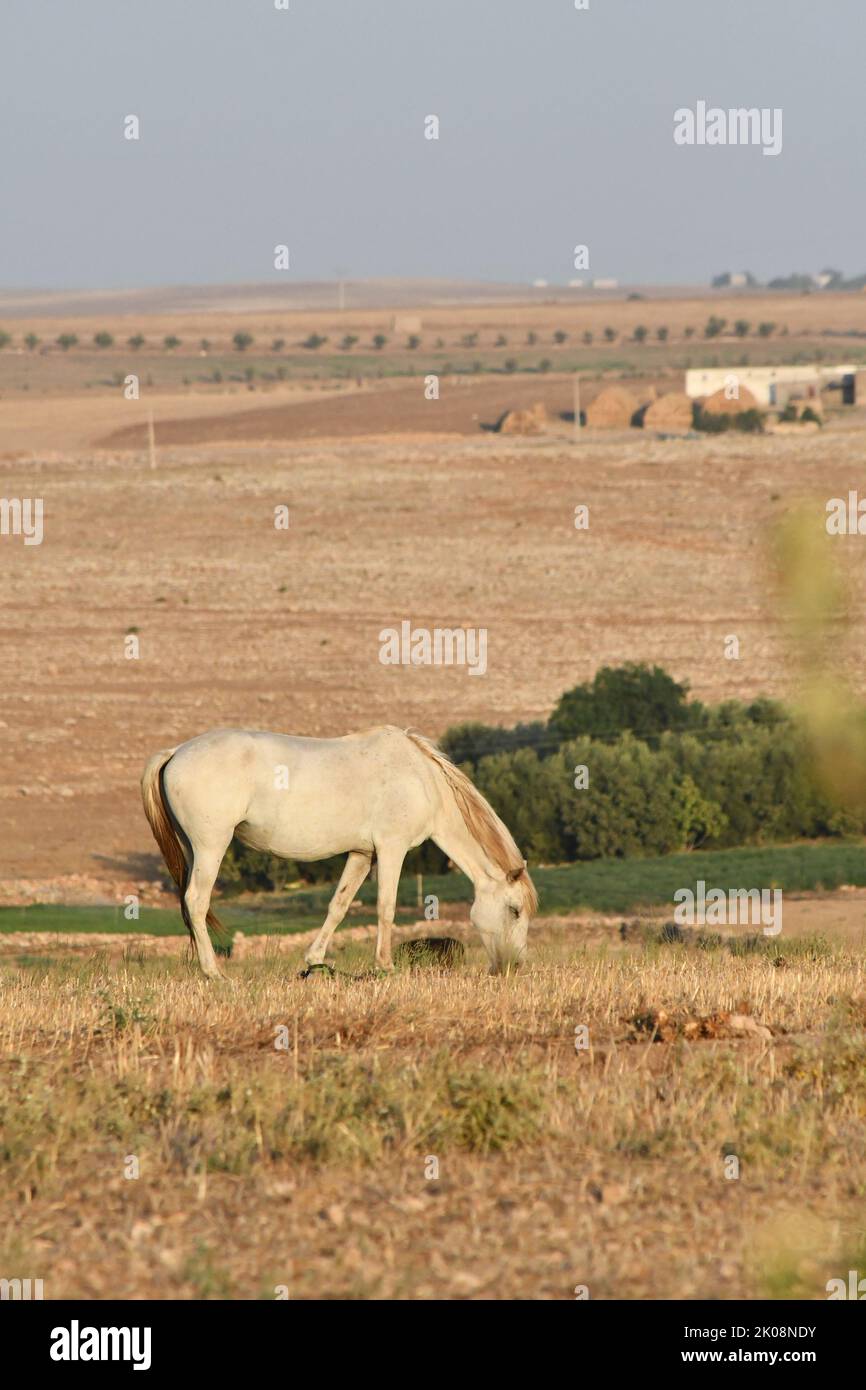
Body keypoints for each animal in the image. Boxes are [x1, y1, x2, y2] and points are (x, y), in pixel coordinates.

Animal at [141, 725, 536, 979]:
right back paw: (213, 972)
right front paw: (385, 966)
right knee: (196, 901)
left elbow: (339, 905)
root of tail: (175, 753)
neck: (422, 779)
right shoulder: (391, 849)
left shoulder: (362, 854)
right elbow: (386, 907)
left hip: (194, 849)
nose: (513, 967)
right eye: (514, 910)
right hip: (211, 846)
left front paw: (315, 961)